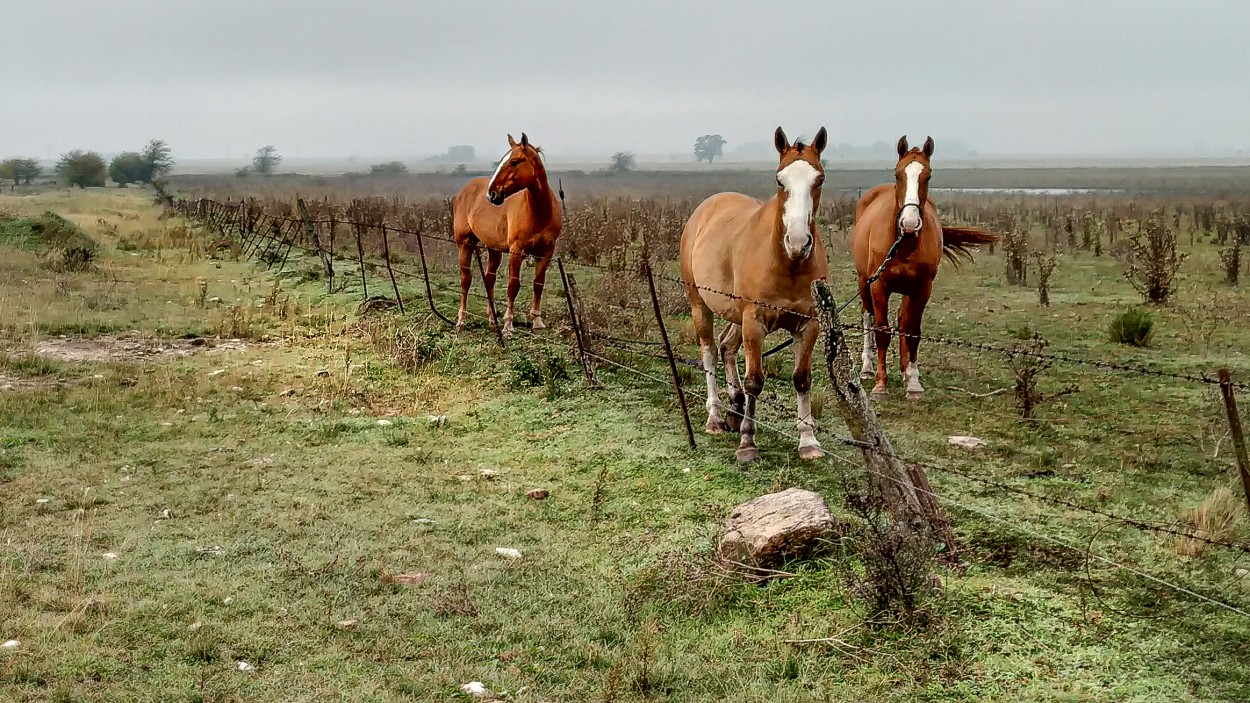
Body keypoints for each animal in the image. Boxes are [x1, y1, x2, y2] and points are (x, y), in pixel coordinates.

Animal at [450, 133, 562, 337]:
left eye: (514, 162)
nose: (492, 195)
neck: (539, 212)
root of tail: (466, 189)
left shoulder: (546, 252)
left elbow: (538, 284)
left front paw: (537, 321)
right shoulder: (517, 251)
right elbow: (513, 286)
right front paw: (508, 325)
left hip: (494, 249)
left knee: (489, 279)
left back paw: (492, 319)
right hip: (465, 244)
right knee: (465, 280)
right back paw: (461, 321)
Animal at [685, 126, 830, 462]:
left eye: (819, 179)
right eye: (780, 180)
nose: (798, 242)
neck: (787, 263)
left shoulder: (809, 325)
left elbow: (802, 379)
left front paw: (808, 440)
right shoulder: (754, 321)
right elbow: (755, 381)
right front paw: (747, 443)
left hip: (735, 315)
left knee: (726, 347)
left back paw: (734, 409)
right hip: (701, 305)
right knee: (710, 352)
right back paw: (715, 417)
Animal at [850, 135, 995, 400]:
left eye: (927, 176)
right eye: (898, 174)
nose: (909, 223)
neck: (903, 244)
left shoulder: (921, 288)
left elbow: (913, 332)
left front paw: (914, 383)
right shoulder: (879, 286)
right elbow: (882, 331)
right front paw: (880, 386)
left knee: (902, 321)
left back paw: (905, 371)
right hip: (864, 281)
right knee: (867, 316)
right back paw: (866, 368)